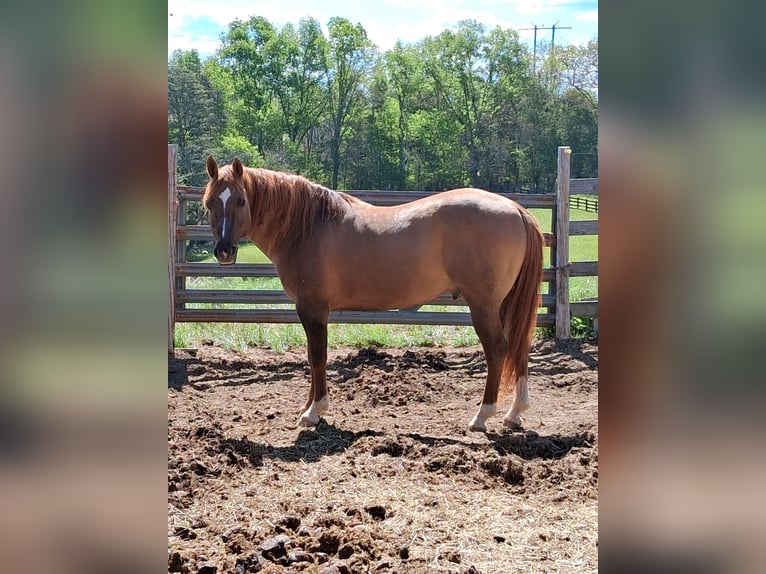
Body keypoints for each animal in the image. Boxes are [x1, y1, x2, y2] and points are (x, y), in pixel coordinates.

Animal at [203, 156, 544, 432]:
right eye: (209, 203)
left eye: (241, 201)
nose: (224, 251)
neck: (307, 227)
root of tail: (515, 209)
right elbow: (314, 358)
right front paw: (308, 408)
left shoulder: (313, 309)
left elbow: (317, 356)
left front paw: (314, 412)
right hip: (504, 304)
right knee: (517, 347)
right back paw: (514, 414)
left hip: (484, 306)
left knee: (498, 350)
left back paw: (482, 416)